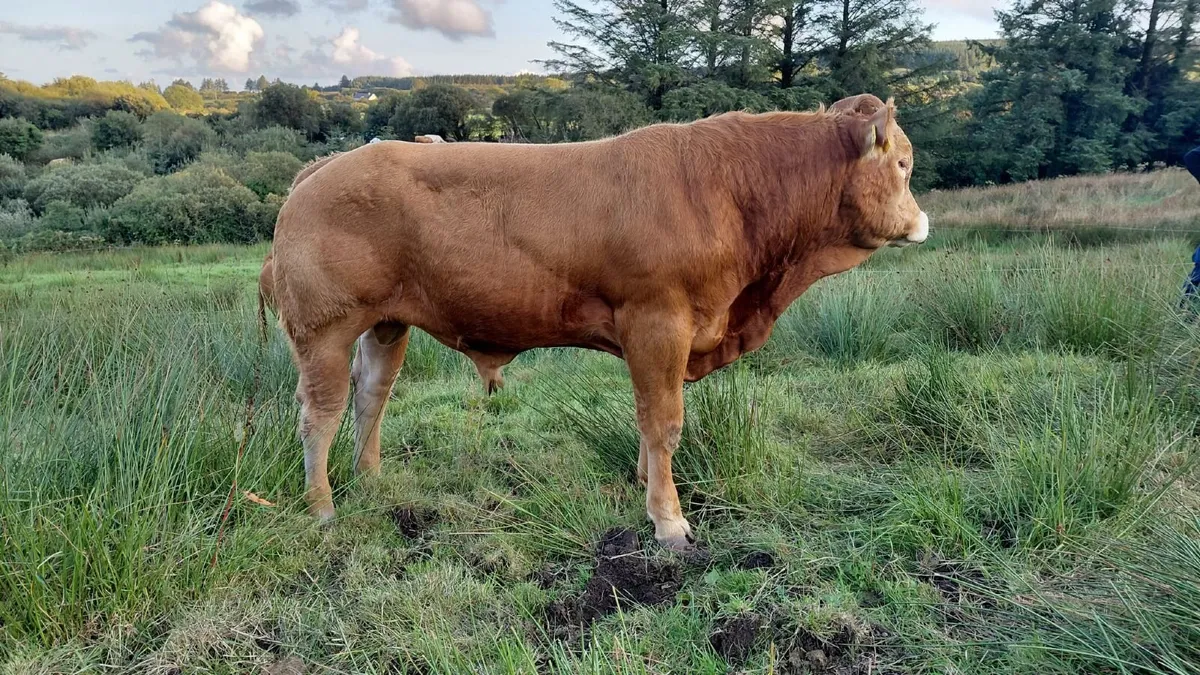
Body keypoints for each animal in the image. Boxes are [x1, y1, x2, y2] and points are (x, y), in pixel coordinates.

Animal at [263, 93, 929, 551]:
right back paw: (322, 509)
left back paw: (372, 480)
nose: (922, 221)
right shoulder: (658, 321)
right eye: (902, 164)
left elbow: (649, 422)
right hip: (323, 330)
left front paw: (644, 485)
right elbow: (663, 422)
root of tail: (324, 168)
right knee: (318, 415)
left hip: (386, 325)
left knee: (371, 396)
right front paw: (669, 522)